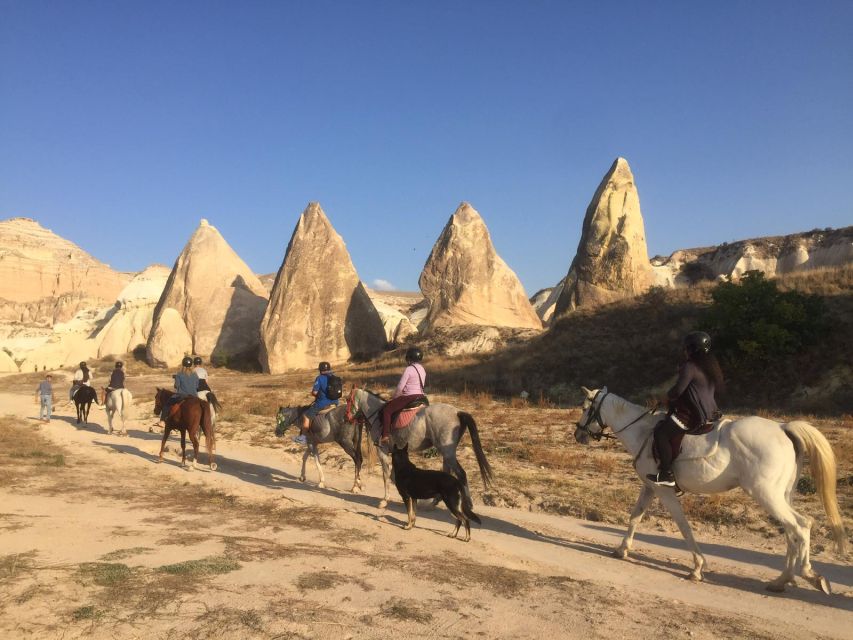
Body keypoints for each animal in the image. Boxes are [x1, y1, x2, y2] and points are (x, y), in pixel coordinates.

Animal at [572, 388, 844, 592]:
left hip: (766, 494)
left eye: (585, 408)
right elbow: (634, 517)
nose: (577, 434)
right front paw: (622, 549)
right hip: (781, 495)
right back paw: (782, 580)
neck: (643, 432)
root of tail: (782, 427)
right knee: (792, 531)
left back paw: (808, 575)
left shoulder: (664, 491)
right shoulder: (649, 487)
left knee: (801, 525)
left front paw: (697, 567)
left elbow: (683, 527)